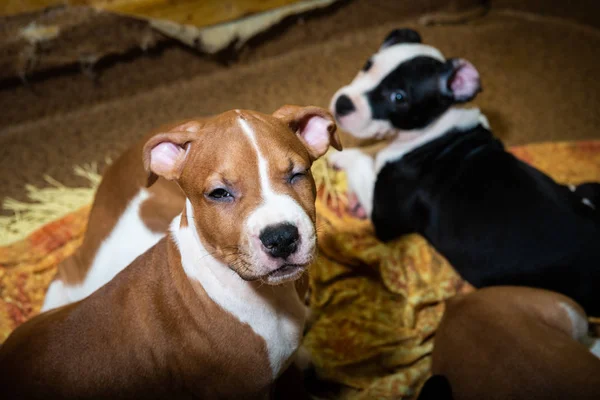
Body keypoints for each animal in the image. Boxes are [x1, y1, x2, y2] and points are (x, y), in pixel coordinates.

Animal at [328, 28, 600, 316]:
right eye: (368, 65)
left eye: (399, 98)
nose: (344, 104)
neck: (437, 128)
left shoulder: (385, 219)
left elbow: (365, 161)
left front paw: (337, 156)